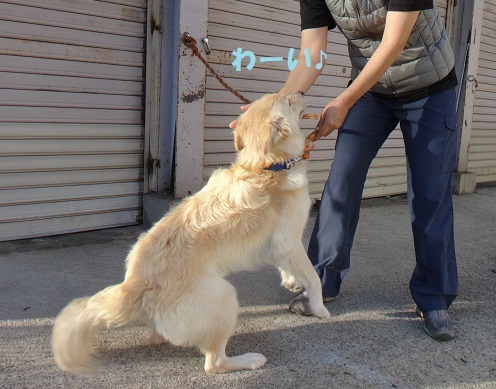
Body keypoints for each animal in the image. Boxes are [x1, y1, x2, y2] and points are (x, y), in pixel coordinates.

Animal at [51, 91, 330, 372]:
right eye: (289, 101)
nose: (301, 92)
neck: (266, 166)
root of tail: (135, 285)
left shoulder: (277, 244)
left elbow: (288, 268)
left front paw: (291, 281)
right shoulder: (289, 242)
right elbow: (314, 277)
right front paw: (319, 308)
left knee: (164, 339)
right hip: (224, 297)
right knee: (214, 363)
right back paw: (250, 360)